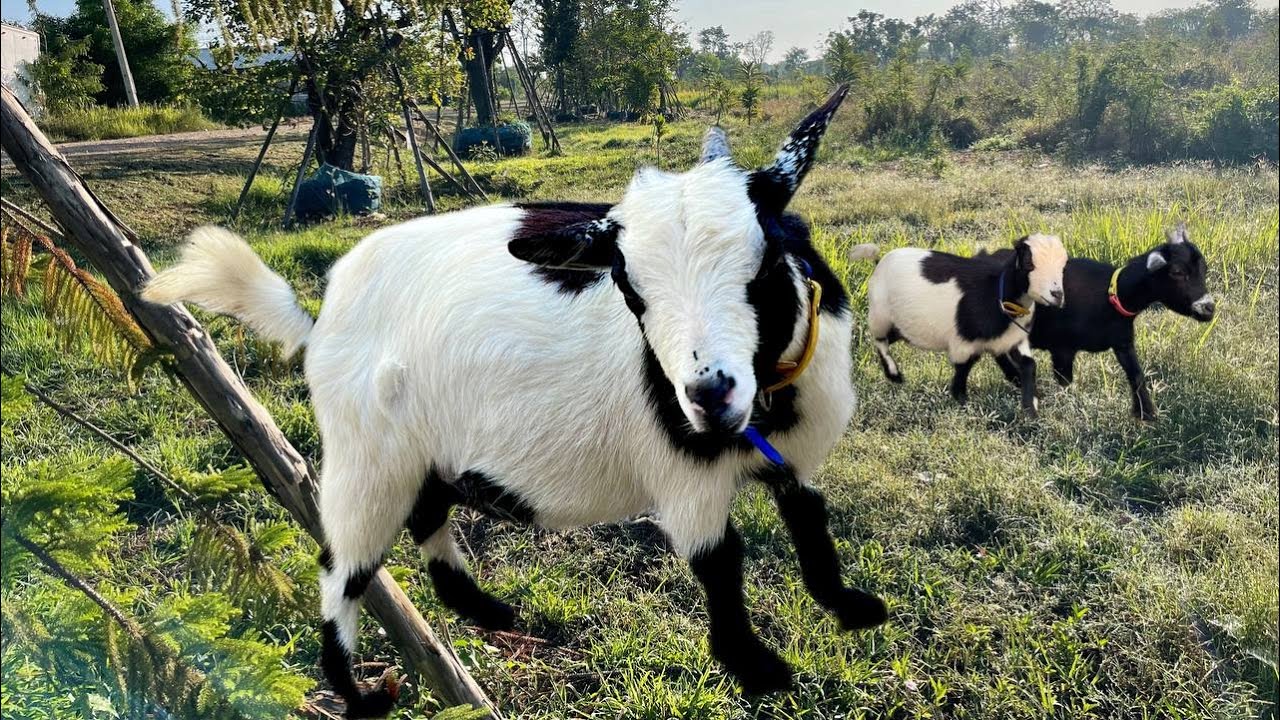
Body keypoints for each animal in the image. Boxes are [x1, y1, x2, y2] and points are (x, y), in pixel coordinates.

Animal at [143, 86, 888, 717]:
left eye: (763, 262)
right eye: (631, 288)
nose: (708, 395)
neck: (770, 408)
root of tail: (317, 318)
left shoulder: (788, 460)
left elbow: (809, 517)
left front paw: (851, 606)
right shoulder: (686, 481)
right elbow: (720, 562)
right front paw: (759, 670)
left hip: (425, 454)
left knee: (428, 522)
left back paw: (494, 614)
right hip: (365, 459)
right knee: (341, 571)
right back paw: (361, 696)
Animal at [858, 235, 1068, 416]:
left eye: (1063, 266)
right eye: (1029, 263)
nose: (1057, 295)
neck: (995, 292)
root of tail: (879, 262)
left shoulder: (1010, 338)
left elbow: (1027, 365)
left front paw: (1031, 405)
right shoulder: (964, 341)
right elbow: (965, 366)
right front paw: (962, 400)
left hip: (901, 326)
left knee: (888, 339)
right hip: (880, 315)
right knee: (879, 340)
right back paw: (894, 374)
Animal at [981, 225, 1215, 420]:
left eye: (1204, 269)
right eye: (1177, 272)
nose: (1208, 308)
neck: (1112, 294)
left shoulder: (1122, 341)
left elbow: (1136, 374)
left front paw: (1146, 415)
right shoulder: (1062, 348)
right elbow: (1065, 381)